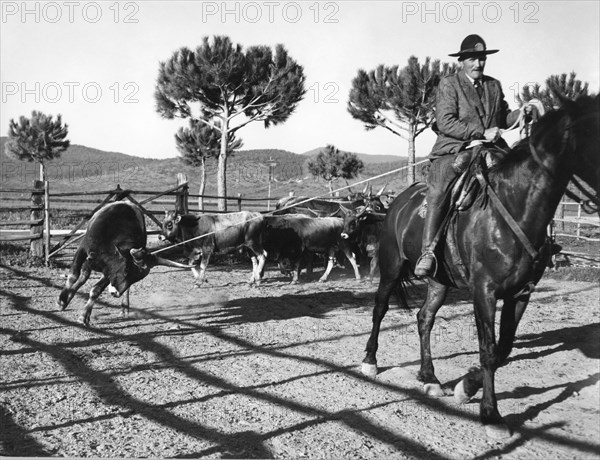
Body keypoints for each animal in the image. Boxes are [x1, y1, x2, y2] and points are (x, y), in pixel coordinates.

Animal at [57, 202, 190, 328]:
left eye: (136, 279)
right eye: (126, 269)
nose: (115, 293)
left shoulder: (110, 271)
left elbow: (96, 290)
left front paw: (84, 316)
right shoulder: (83, 248)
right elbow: (73, 276)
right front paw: (61, 300)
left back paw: (124, 307)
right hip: (88, 260)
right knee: (83, 277)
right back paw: (67, 298)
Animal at [364, 94, 596, 438]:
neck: (513, 207)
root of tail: (398, 202)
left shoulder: (521, 293)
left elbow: (503, 349)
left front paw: (466, 387)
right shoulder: (484, 291)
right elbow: (488, 349)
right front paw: (490, 413)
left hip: (439, 281)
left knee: (424, 319)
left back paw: (429, 377)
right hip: (392, 266)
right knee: (380, 308)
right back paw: (370, 360)